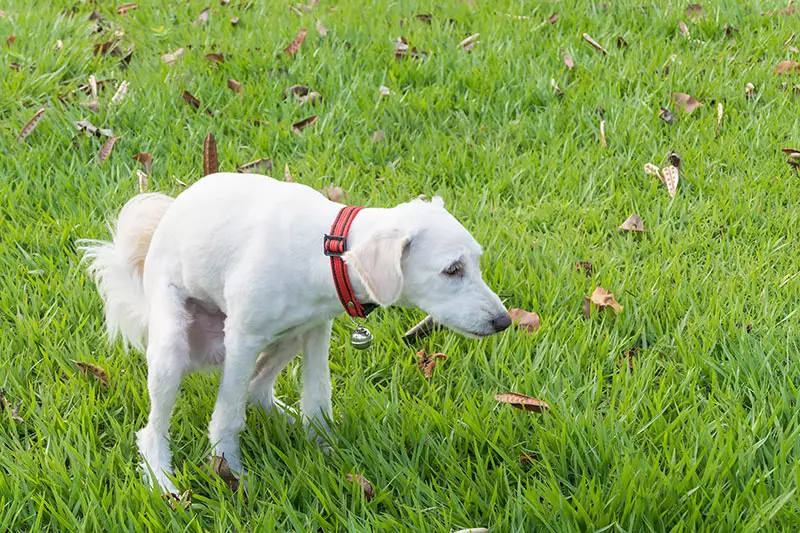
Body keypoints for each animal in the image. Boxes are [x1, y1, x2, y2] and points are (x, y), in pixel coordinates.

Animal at [78, 172, 510, 492]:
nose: (503, 321)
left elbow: (317, 402)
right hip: (173, 347)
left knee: (257, 390)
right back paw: (162, 482)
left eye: (475, 262)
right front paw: (230, 471)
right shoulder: (242, 339)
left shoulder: (317, 329)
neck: (328, 250)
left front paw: (327, 450)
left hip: (288, 337)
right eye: (452, 270)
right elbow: (228, 415)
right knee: (153, 431)